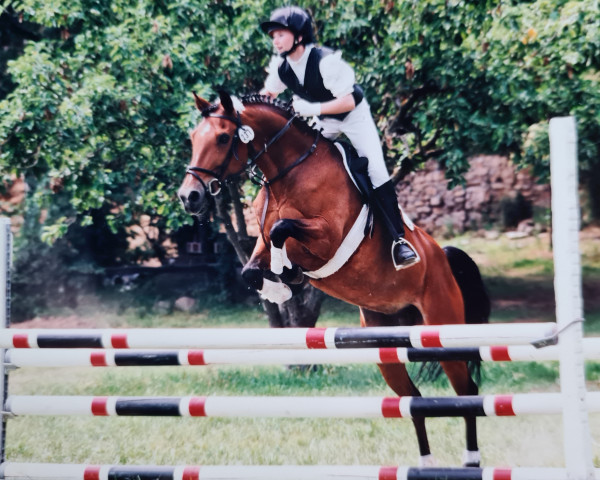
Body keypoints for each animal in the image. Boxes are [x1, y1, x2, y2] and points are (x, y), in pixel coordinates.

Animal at [178, 89, 492, 464]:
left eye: (224, 138)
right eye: (194, 138)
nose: (188, 196)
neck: (288, 173)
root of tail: (442, 256)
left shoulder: (327, 237)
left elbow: (284, 231)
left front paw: (287, 275)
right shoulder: (261, 242)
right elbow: (252, 269)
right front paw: (280, 284)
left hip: (442, 330)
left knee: (467, 392)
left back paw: (470, 460)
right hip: (386, 345)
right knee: (412, 400)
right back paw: (426, 464)